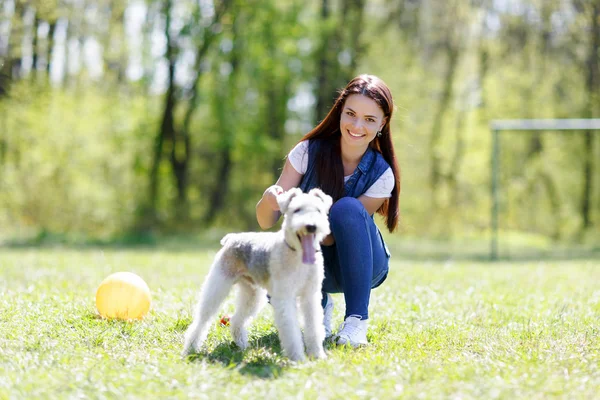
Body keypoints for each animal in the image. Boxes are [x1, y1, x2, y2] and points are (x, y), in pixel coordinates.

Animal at [183, 188, 332, 362]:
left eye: (318, 210)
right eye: (297, 210)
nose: (311, 226)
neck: (297, 254)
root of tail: (231, 238)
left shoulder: (310, 296)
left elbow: (314, 327)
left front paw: (317, 355)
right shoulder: (285, 298)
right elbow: (291, 331)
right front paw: (298, 358)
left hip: (252, 294)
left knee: (237, 320)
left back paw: (241, 345)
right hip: (218, 285)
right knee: (202, 320)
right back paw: (190, 348)